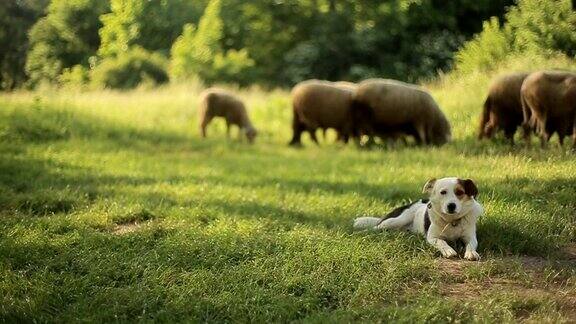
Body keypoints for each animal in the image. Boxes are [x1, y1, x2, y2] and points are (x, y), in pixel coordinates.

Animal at [354, 177, 484, 260]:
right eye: (443, 192)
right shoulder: (432, 237)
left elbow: (471, 244)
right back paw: (362, 232)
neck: (452, 221)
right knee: (377, 226)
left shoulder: (470, 237)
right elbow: (442, 242)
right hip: (397, 220)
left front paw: (471, 253)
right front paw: (448, 250)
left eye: (460, 192)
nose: (451, 205)